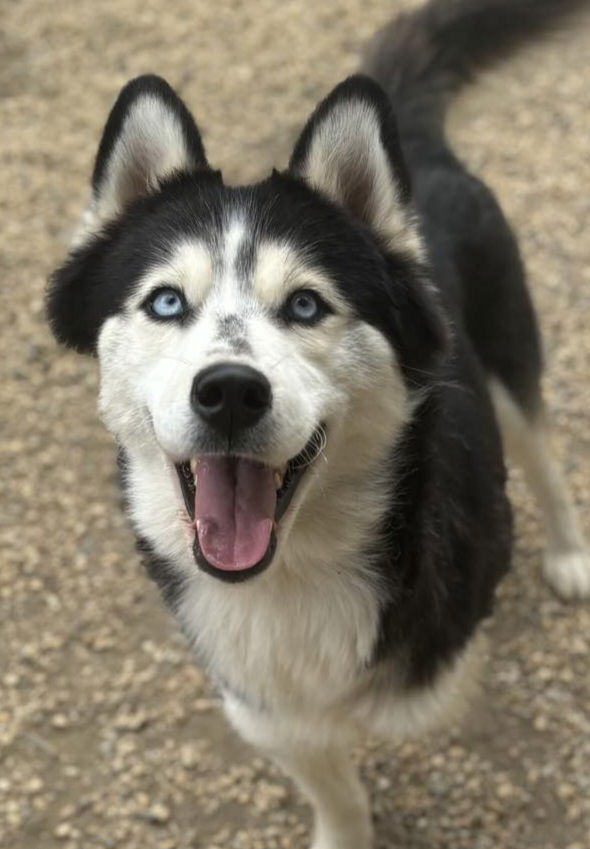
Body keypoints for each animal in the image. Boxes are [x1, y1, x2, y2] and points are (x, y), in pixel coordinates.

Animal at [47, 1, 590, 848]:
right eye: (166, 301)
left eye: (306, 304)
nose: (229, 392)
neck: (292, 574)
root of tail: (417, 142)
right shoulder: (257, 700)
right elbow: (327, 774)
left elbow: (412, 697)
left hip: (509, 350)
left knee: (544, 450)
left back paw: (569, 555)